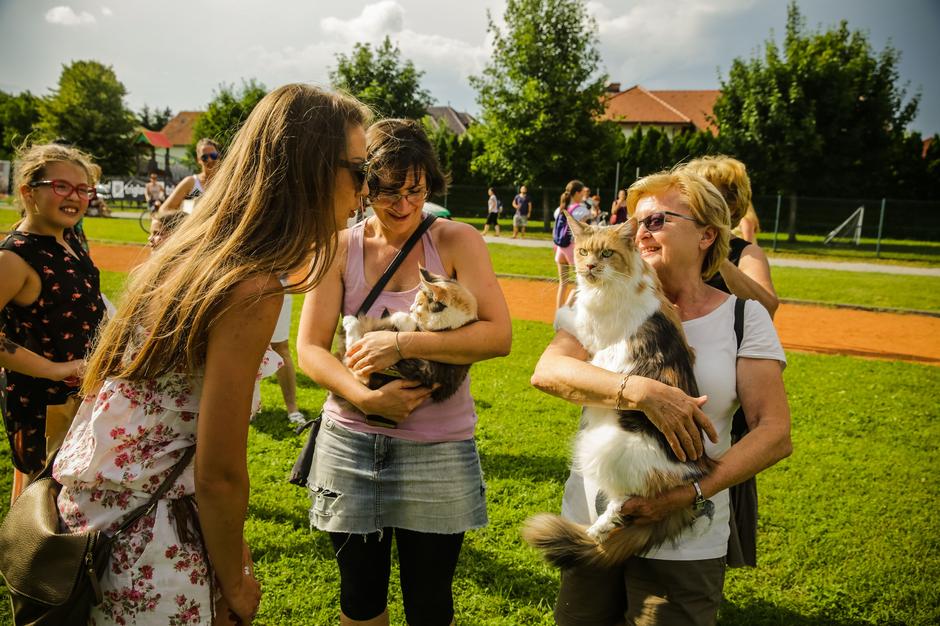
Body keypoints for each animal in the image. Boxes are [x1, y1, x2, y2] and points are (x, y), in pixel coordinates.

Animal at [342, 266, 478, 402]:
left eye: (419, 303)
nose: (411, 309)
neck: (454, 324)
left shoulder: (425, 369)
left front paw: (402, 317)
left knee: (353, 353)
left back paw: (349, 321)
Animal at [524, 217, 716, 568]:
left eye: (606, 254)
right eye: (582, 251)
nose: (588, 267)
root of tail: (691, 470)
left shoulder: (592, 332)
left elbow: (568, 314)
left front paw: (566, 307)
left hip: (606, 446)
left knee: (625, 501)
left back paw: (596, 531)